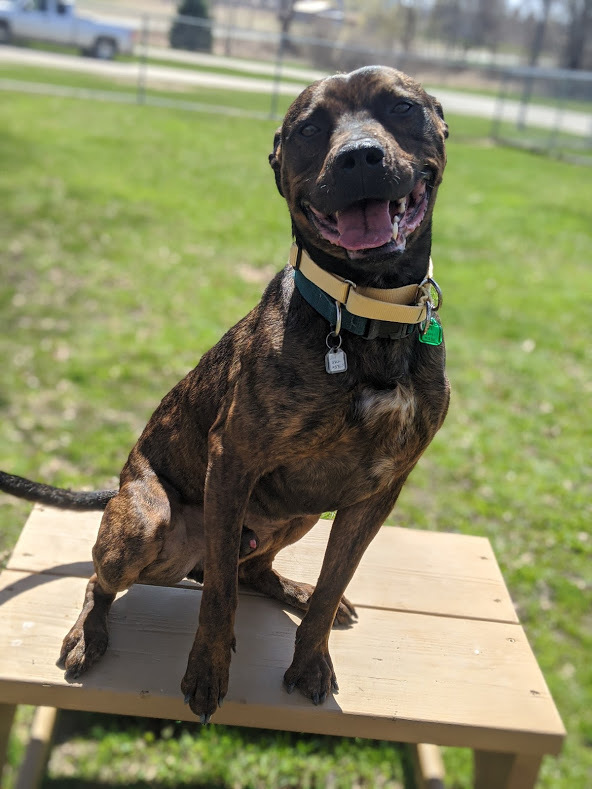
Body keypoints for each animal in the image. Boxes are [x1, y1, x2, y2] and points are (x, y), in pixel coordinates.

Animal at [0, 66, 448, 720]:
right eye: (309, 128)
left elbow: (335, 580)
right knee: (106, 581)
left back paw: (293, 588)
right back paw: (88, 633)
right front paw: (207, 671)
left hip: (300, 514)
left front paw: (310, 656)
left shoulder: (378, 492)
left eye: (401, 107)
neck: (365, 315)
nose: (360, 157)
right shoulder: (231, 461)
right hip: (146, 523)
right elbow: (217, 600)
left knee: (253, 570)